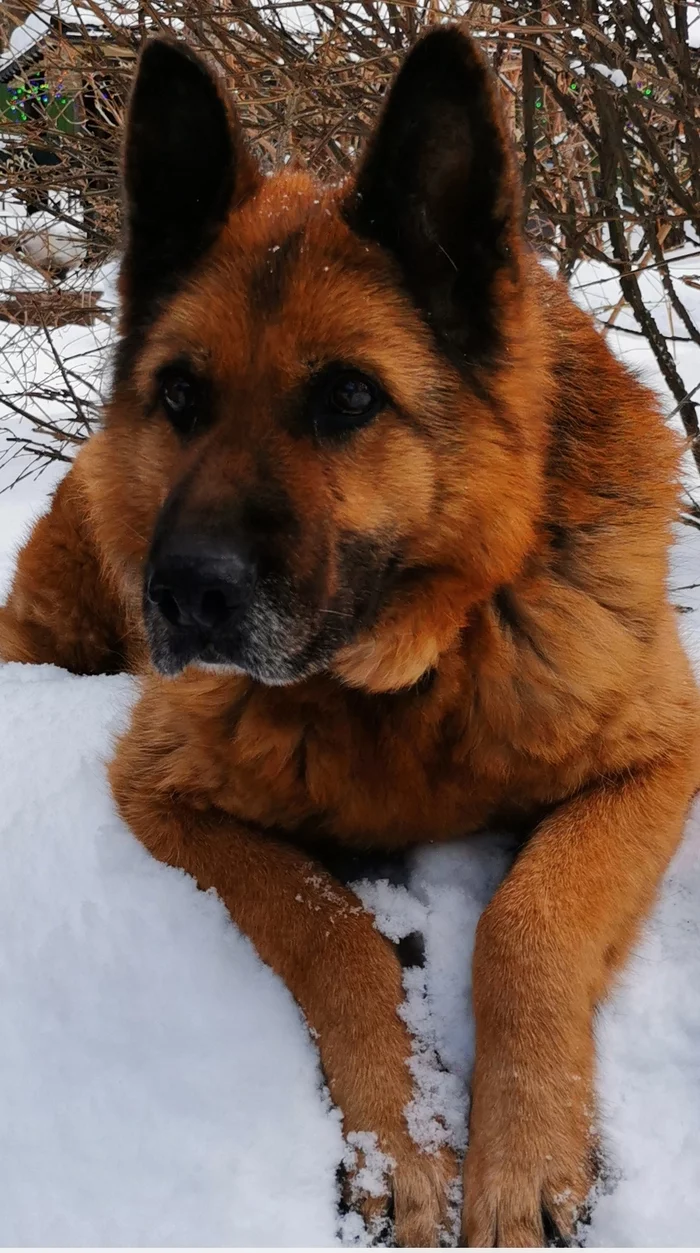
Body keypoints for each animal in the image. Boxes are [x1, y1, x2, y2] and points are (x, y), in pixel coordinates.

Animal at [1, 24, 700, 1247]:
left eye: (347, 397)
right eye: (179, 395)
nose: (181, 597)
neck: (417, 671)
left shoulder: (660, 754)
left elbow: (526, 921)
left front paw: (521, 1156)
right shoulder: (161, 791)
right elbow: (331, 930)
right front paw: (406, 1150)